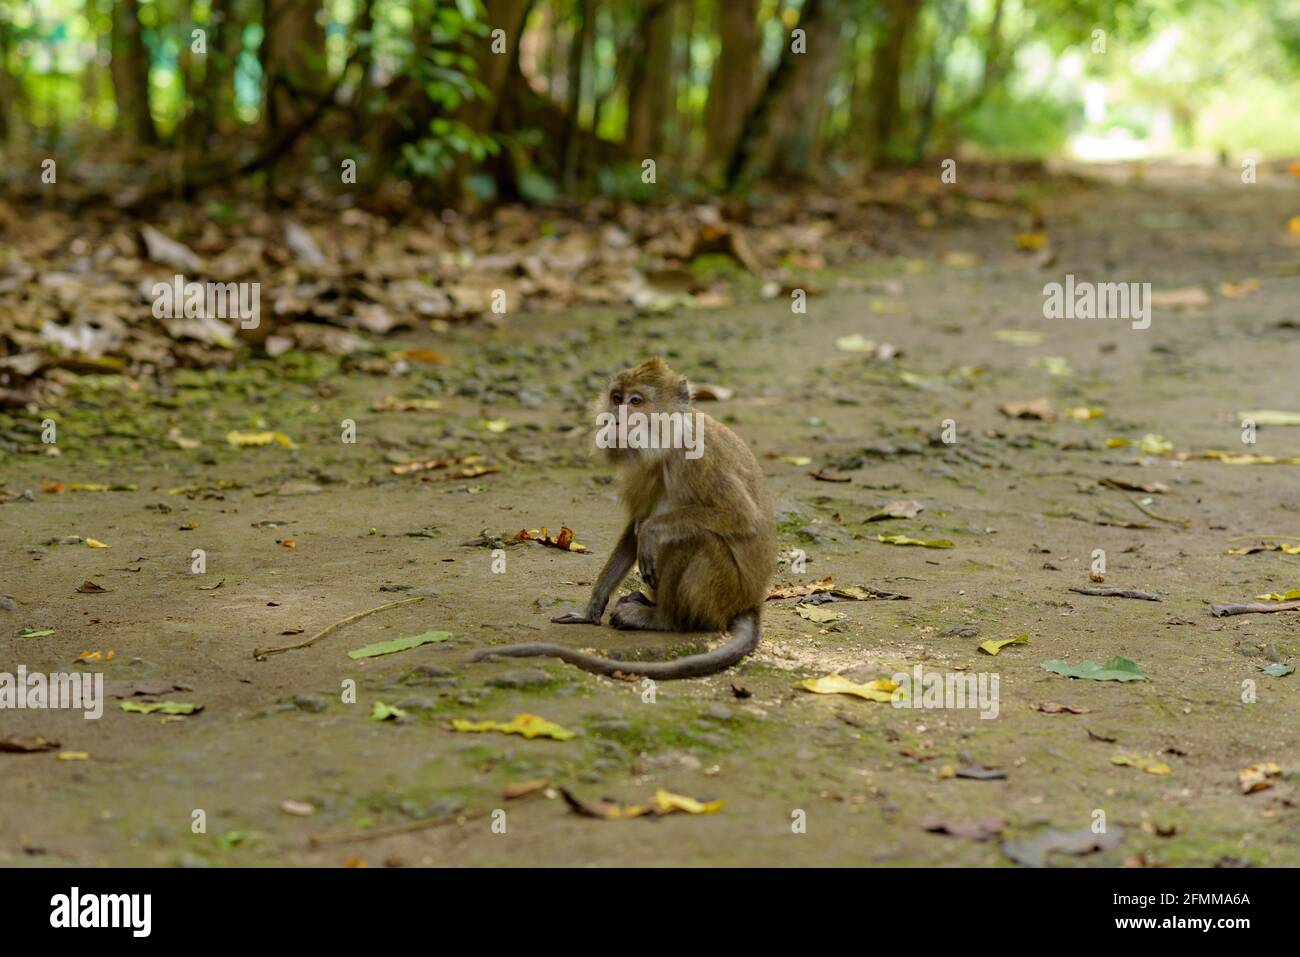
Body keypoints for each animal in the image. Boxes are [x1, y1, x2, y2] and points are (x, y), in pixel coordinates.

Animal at [470, 357, 775, 680]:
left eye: (636, 401)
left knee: (696, 538)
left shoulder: (697, 459)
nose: (615, 419)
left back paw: (662, 618)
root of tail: (750, 604)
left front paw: (652, 532)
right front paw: (591, 610)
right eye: (617, 398)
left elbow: (741, 517)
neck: (670, 440)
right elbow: (633, 530)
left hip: (723, 593)